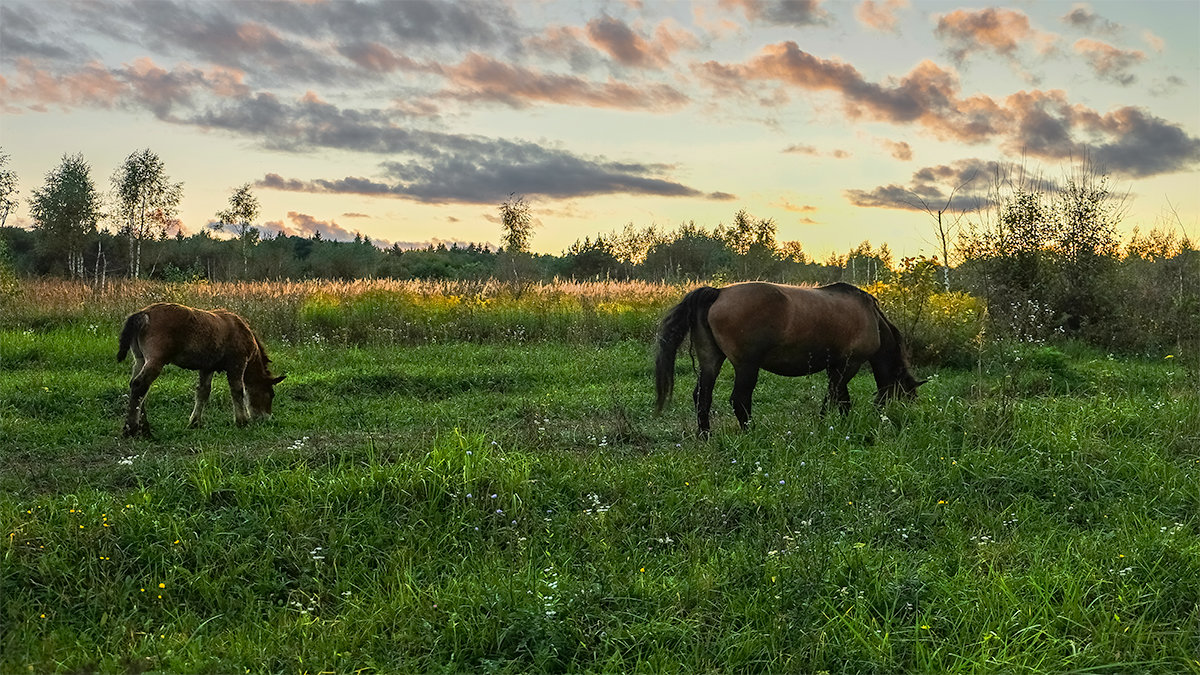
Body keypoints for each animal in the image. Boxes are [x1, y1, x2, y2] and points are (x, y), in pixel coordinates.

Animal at [117, 300, 285, 437]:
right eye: (271, 394)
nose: (266, 418)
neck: (241, 331)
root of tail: (143, 314)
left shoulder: (207, 367)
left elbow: (203, 392)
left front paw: (195, 422)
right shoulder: (237, 364)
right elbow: (237, 391)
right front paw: (242, 421)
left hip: (140, 359)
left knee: (137, 387)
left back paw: (143, 427)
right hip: (156, 360)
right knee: (140, 386)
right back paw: (131, 429)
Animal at [657, 281, 926, 432]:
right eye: (907, 396)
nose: (902, 418)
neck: (872, 318)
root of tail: (718, 293)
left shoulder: (835, 367)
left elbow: (833, 396)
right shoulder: (849, 365)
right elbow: (840, 399)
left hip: (711, 360)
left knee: (702, 396)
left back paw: (706, 435)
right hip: (747, 366)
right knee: (740, 400)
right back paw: (750, 433)